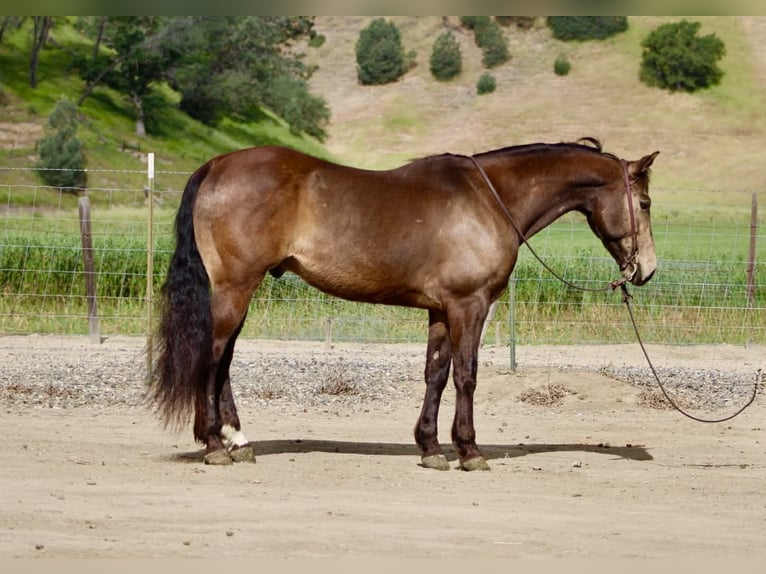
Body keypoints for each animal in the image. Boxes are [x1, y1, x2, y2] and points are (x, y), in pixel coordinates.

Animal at [150, 139, 659, 471]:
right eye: (646, 202)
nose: (647, 269)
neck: (489, 199)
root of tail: (216, 165)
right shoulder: (468, 306)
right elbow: (467, 375)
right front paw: (469, 451)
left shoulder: (441, 310)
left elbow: (436, 374)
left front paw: (431, 448)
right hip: (235, 289)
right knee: (213, 357)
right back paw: (215, 444)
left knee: (224, 361)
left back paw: (238, 440)